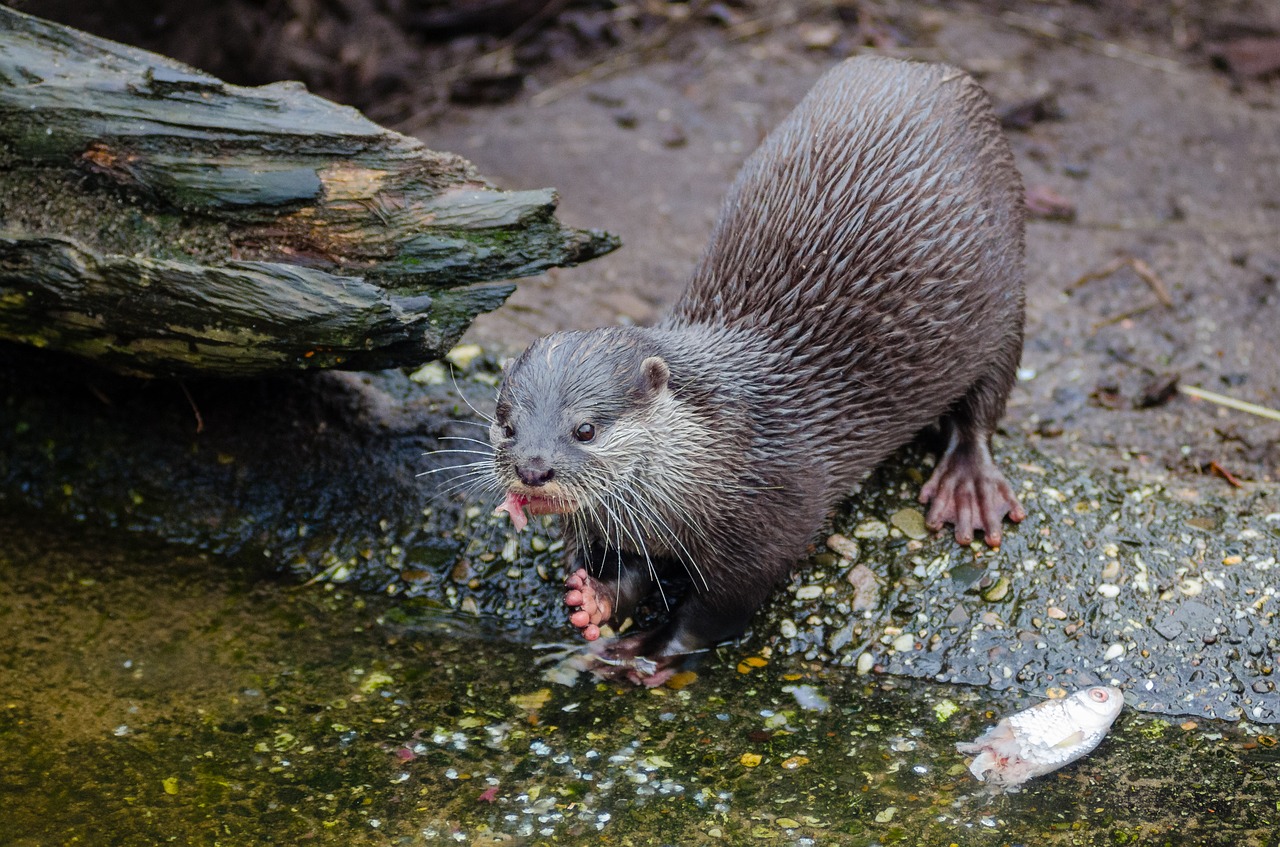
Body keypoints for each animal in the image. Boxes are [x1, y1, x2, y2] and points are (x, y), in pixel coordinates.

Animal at [483, 56, 1024, 685]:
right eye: (507, 425)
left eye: (586, 428)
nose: (532, 469)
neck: (726, 452)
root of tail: (923, 67)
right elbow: (631, 573)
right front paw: (592, 600)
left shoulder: (771, 521)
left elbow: (716, 612)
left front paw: (645, 652)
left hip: (1007, 298)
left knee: (984, 404)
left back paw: (968, 485)